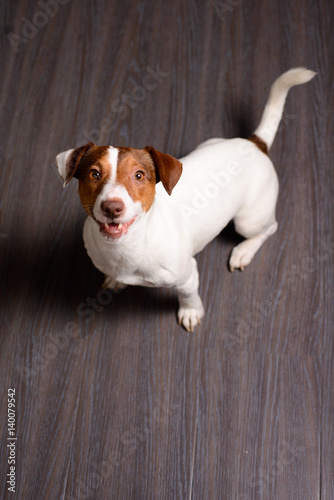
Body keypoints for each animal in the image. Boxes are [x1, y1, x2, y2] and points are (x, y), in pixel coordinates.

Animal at [56, 67, 316, 332]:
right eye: (94, 174)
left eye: (139, 175)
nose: (112, 207)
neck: (128, 246)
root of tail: (254, 144)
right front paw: (115, 280)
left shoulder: (187, 275)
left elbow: (188, 295)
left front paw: (191, 311)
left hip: (249, 220)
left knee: (268, 228)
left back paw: (244, 251)